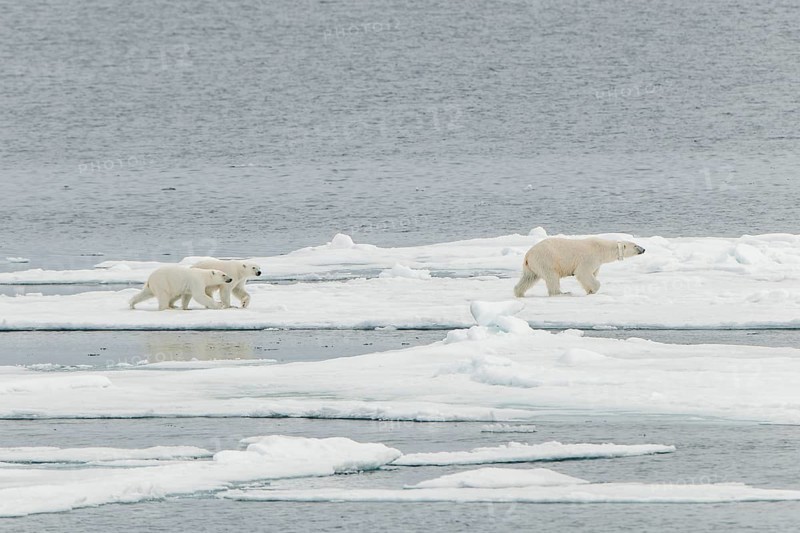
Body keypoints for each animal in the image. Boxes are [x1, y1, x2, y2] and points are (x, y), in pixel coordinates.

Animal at [513, 237, 645, 297]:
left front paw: (589, 290)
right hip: (546, 259)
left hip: (532, 265)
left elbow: (592, 274)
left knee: (529, 278)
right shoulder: (590, 258)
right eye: (635, 245)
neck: (602, 249)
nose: (643, 249)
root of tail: (528, 254)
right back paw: (563, 293)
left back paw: (519, 292)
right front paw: (593, 290)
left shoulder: (597, 263)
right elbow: (583, 273)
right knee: (552, 277)